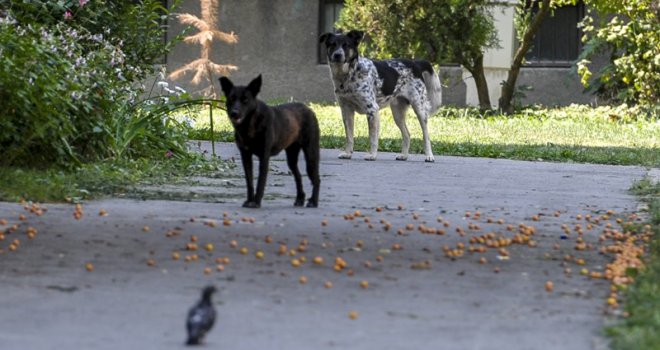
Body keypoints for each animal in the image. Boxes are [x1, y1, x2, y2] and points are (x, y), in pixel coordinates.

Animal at [219, 76, 320, 208]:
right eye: (231, 99)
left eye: (245, 100)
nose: (234, 113)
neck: (250, 123)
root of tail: (309, 109)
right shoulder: (245, 156)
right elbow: (249, 182)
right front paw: (249, 200)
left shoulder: (264, 157)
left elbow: (260, 182)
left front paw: (256, 202)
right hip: (292, 157)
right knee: (298, 176)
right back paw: (300, 198)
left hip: (311, 154)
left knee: (316, 178)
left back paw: (313, 201)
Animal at [320, 29, 444, 161]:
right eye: (332, 44)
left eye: (346, 45)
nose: (337, 55)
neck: (349, 75)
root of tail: (415, 63)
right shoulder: (346, 110)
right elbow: (349, 136)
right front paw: (348, 153)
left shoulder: (372, 110)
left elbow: (373, 138)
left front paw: (372, 155)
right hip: (398, 113)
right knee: (407, 134)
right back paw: (404, 155)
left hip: (419, 109)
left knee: (426, 135)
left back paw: (429, 156)